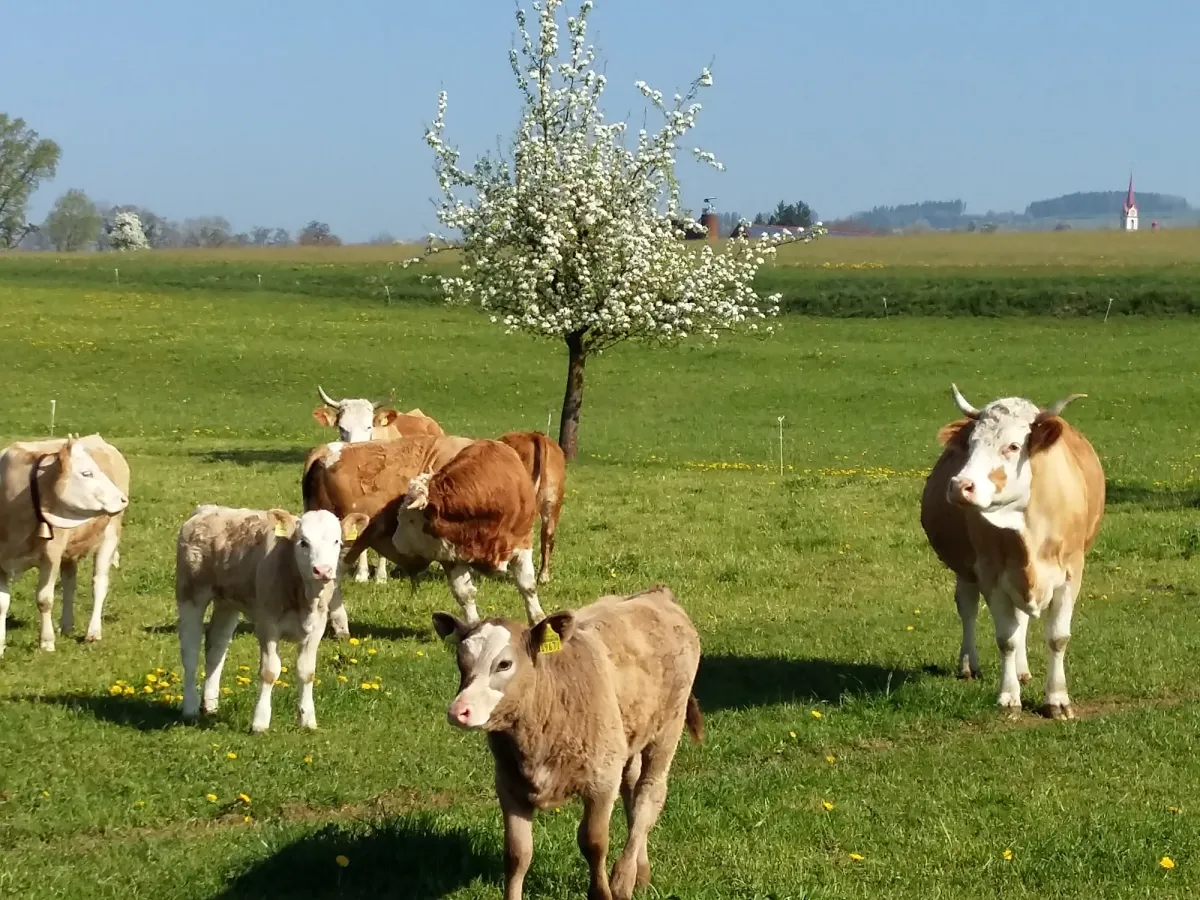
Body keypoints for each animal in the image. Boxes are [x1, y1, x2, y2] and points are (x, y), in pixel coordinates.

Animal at [0, 434, 129, 656]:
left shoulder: (51, 554)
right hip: (70, 548)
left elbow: (44, 599)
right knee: (70, 583)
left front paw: (46, 641)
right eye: (86, 473)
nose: (122, 499)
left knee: (99, 583)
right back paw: (66, 625)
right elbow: (1, 603)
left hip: (109, 534)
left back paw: (93, 632)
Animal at [175, 505, 368, 733]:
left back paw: (210, 704)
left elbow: (307, 672)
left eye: (337, 541)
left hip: (227, 603)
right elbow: (269, 671)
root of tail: (207, 509)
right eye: (303, 542)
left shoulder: (317, 628)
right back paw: (190, 707)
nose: (322, 570)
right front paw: (260, 721)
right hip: (191, 594)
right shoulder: (267, 626)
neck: (303, 598)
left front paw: (307, 719)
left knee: (216, 647)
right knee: (190, 651)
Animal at [432, 585, 703, 900]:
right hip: (630, 736)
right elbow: (517, 854)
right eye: (461, 661)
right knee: (632, 791)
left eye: (504, 664)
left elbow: (593, 842)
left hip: (668, 727)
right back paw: (640, 872)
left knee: (648, 796)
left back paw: (623, 879)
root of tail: (656, 593)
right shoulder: (509, 784)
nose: (458, 711)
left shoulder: (601, 781)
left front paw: (602, 892)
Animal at [920, 384, 1105, 719]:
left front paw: (1057, 699)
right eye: (971, 444)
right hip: (966, 569)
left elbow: (1057, 638)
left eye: (1014, 446)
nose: (960, 486)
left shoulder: (1071, 572)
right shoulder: (991, 574)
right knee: (968, 608)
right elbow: (1006, 639)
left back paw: (1022, 670)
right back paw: (969, 664)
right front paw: (1009, 697)